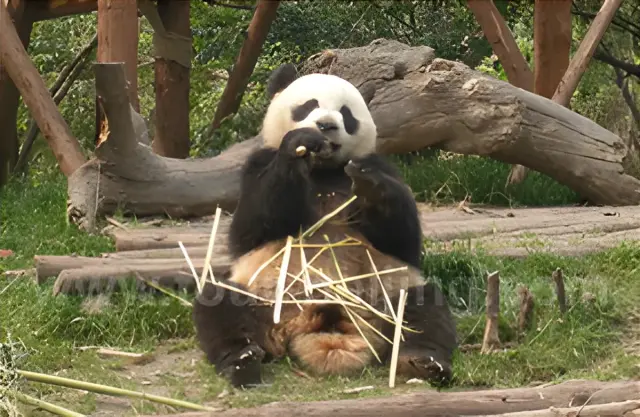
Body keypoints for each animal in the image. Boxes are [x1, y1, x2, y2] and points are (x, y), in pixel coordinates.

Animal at [193, 63, 457, 389]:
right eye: (309, 105)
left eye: (346, 114)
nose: (326, 125)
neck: (324, 169)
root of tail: (317, 324)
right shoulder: (256, 166)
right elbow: (249, 230)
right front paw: (297, 144)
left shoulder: (381, 166)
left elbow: (404, 242)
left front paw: (370, 186)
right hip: (265, 297)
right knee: (219, 301)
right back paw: (241, 362)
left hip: (388, 295)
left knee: (424, 309)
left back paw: (423, 362)